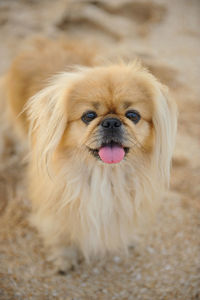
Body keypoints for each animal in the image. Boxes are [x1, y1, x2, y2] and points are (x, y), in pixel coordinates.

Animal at [1, 37, 177, 272]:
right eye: (89, 116)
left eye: (133, 115)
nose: (111, 122)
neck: (105, 174)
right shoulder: (56, 206)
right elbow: (61, 235)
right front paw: (64, 259)